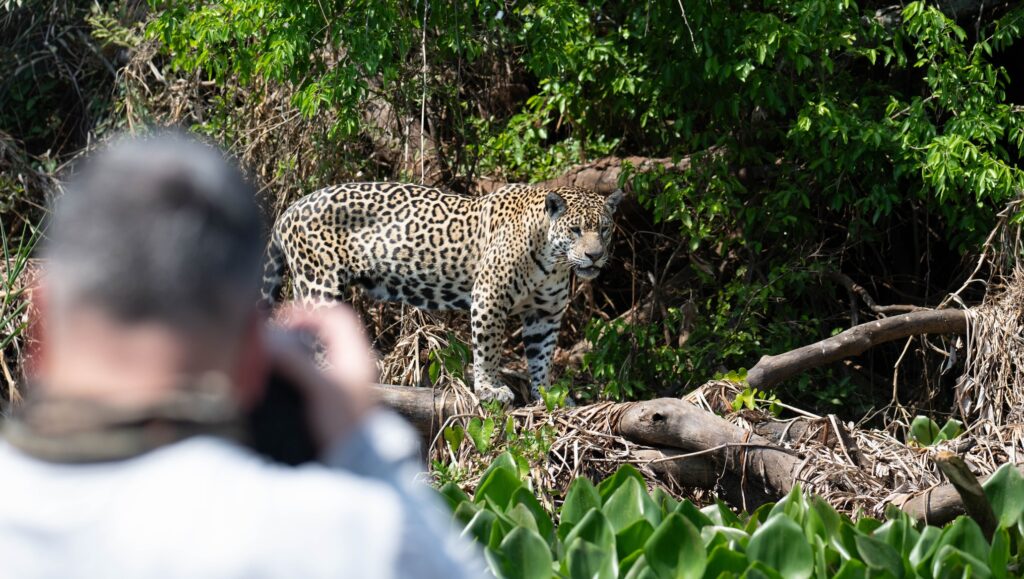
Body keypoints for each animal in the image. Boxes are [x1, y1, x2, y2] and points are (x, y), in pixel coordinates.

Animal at [260, 182, 623, 404]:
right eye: (575, 229)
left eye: (604, 229)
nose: (595, 255)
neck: (553, 260)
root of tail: (291, 208)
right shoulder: (490, 297)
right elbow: (488, 349)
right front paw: (490, 389)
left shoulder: (544, 313)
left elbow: (542, 355)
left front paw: (545, 393)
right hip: (320, 283)